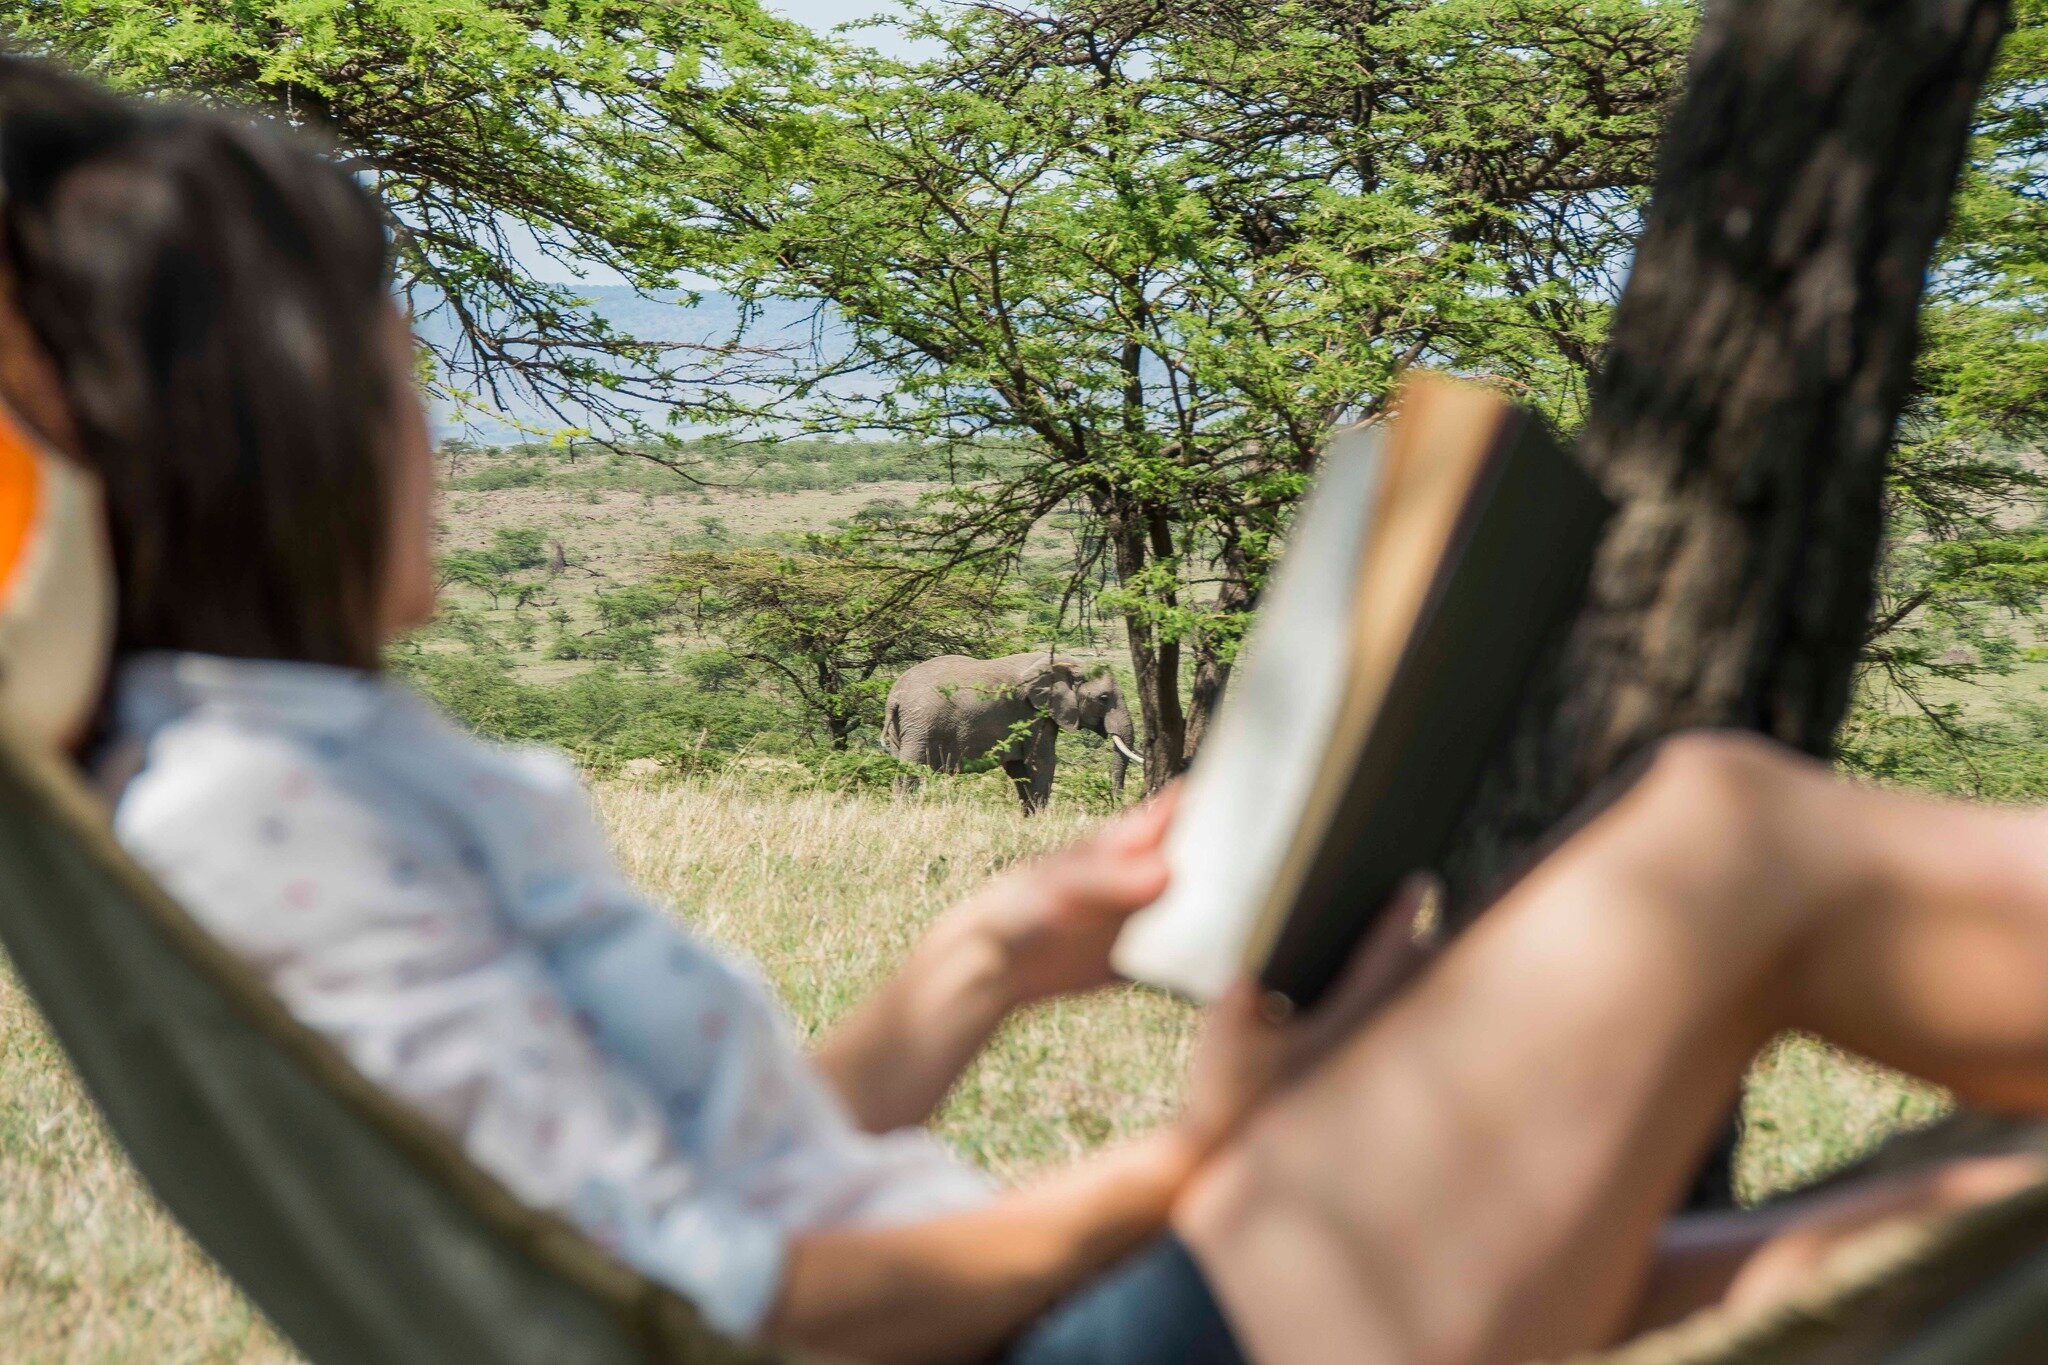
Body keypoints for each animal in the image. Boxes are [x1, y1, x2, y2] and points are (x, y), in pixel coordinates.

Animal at [880, 650, 1146, 810]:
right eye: (1104, 698)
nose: (1119, 805)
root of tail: (895, 697)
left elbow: (1020, 768)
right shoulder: (1032, 713)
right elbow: (1041, 762)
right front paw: (1040, 820)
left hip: (904, 728)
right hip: (921, 724)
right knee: (910, 770)